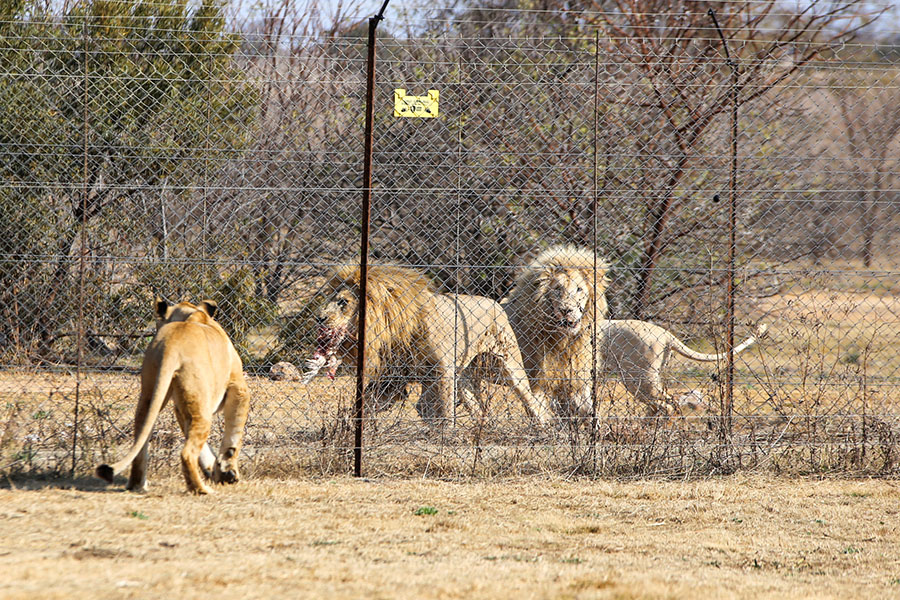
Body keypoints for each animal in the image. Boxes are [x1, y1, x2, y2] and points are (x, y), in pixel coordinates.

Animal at [94, 298, 250, 494]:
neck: (191, 313)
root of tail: (171, 345)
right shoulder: (239, 389)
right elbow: (234, 435)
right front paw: (227, 471)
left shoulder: (180, 407)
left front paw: (215, 470)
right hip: (202, 406)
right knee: (187, 453)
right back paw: (201, 490)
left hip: (151, 394)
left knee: (142, 439)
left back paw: (137, 485)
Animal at [306, 264, 552, 426]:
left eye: (343, 302)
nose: (318, 318)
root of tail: (495, 302)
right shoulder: (392, 377)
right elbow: (366, 404)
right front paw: (350, 428)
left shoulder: (442, 372)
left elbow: (444, 411)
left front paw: (446, 439)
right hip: (463, 376)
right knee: (477, 407)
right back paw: (482, 429)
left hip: (506, 364)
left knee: (529, 398)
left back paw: (543, 427)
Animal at [502, 246, 616, 420]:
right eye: (557, 289)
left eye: (579, 289)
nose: (565, 310)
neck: (563, 340)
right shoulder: (537, 383)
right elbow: (540, 416)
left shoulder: (575, 380)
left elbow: (589, 413)